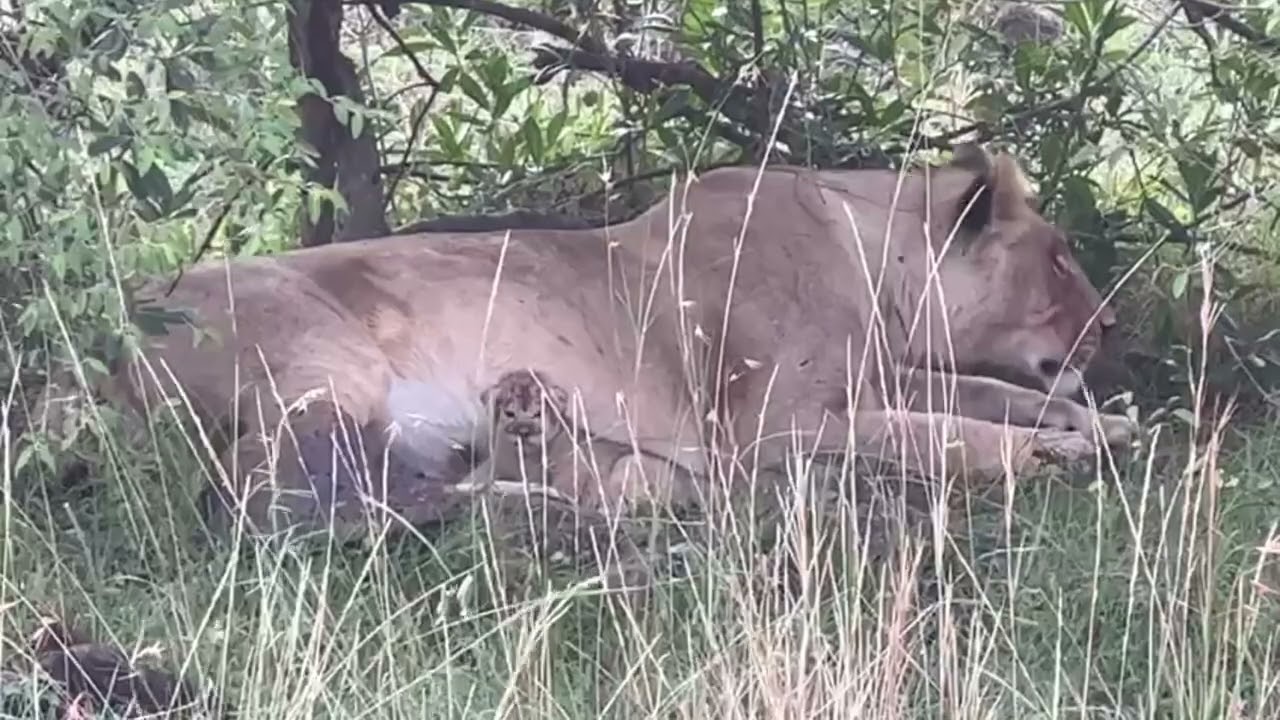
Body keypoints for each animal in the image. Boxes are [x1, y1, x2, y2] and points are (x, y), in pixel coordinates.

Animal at [46, 143, 1137, 539]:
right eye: (1057, 262)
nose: (1111, 325)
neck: (872, 261)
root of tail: (81, 353)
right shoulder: (769, 426)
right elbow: (943, 434)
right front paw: (1052, 454)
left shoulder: (877, 375)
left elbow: (988, 396)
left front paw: (1101, 424)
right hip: (324, 368)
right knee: (265, 505)